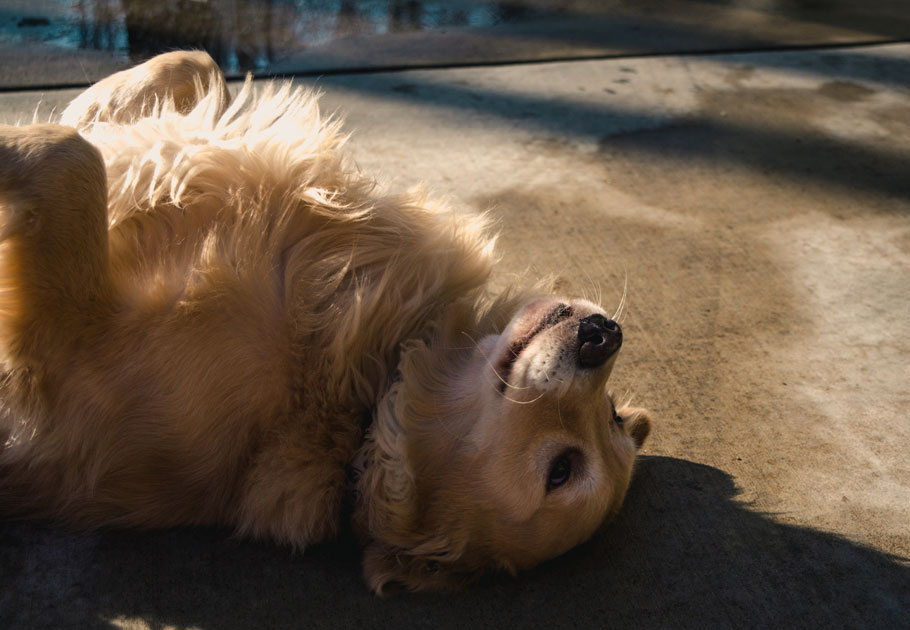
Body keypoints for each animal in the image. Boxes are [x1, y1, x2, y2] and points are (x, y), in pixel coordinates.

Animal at [1, 51, 656, 596]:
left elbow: (71, 157)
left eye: (562, 471)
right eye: (614, 415)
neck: (359, 400)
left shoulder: (72, 349)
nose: (604, 336)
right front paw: (104, 104)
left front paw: (34, 138)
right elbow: (190, 64)